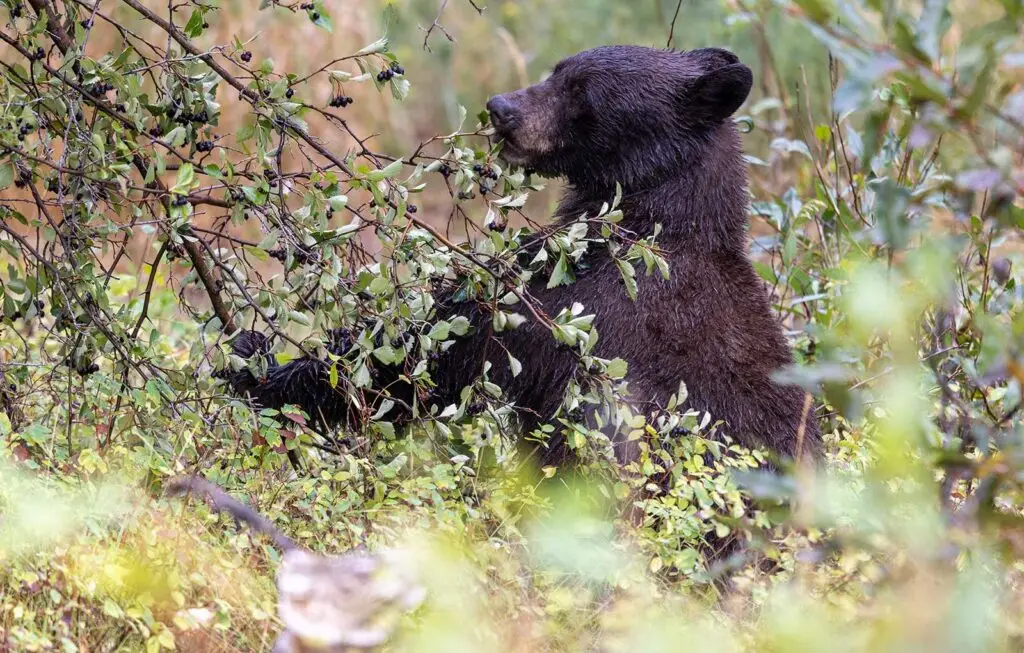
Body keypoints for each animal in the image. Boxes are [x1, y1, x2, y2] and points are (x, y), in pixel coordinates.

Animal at [223, 45, 821, 467]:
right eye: (559, 70)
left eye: (582, 91)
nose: (501, 108)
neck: (649, 223)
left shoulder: (574, 305)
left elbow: (428, 354)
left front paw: (256, 363)